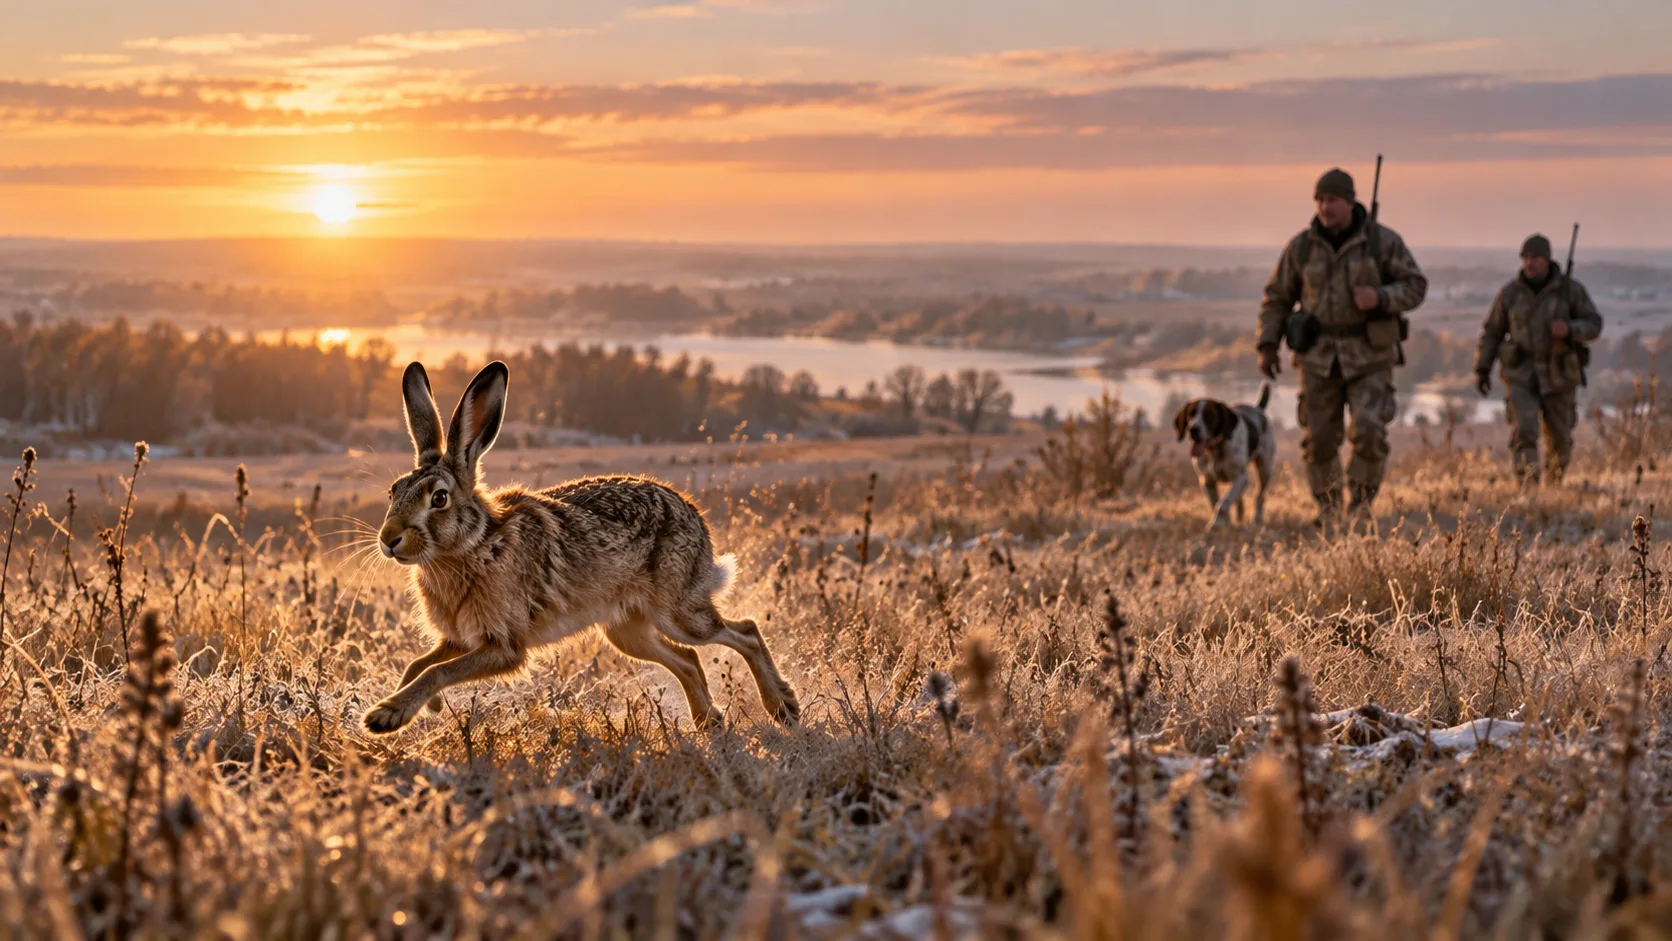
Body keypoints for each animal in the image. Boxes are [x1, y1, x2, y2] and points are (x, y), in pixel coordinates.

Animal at [362, 360, 800, 735]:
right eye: (394, 491)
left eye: (439, 498)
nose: (389, 539)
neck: (473, 544)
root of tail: (696, 519)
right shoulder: (457, 639)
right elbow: (419, 663)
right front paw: (427, 706)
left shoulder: (503, 646)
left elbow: (437, 671)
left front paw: (385, 716)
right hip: (626, 630)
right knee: (689, 660)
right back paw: (710, 723)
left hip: (679, 612)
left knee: (744, 631)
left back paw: (783, 707)